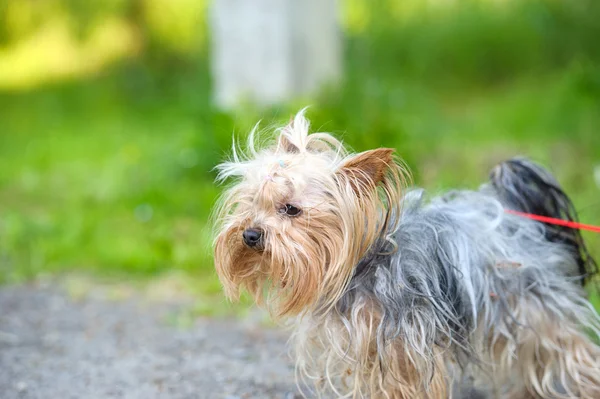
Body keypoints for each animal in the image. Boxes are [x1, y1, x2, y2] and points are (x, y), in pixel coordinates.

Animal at [213, 110, 596, 399]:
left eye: (291, 209)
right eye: (252, 202)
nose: (249, 234)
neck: (361, 266)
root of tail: (513, 212)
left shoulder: (404, 346)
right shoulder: (369, 345)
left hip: (531, 307)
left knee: (570, 351)